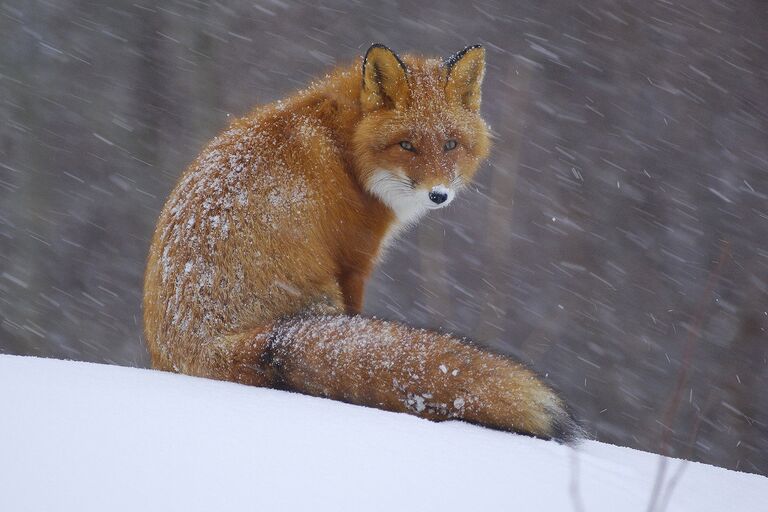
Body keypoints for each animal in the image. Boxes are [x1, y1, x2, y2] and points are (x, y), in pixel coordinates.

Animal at [142, 45, 584, 440]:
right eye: (406, 145)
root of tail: (202, 346)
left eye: (450, 145)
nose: (438, 195)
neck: (347, 150)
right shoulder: (354, 261)